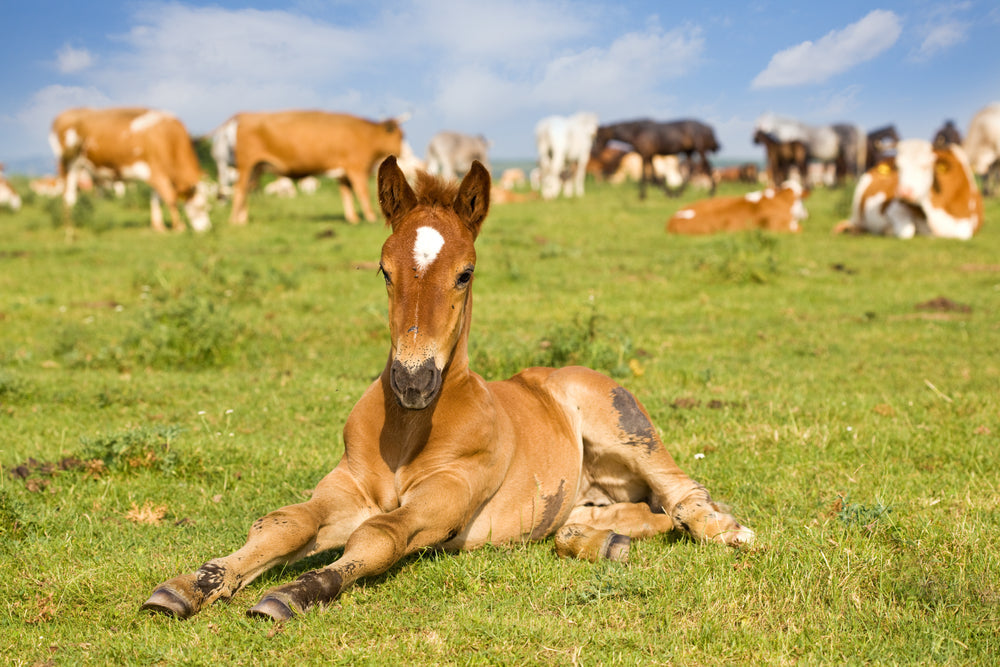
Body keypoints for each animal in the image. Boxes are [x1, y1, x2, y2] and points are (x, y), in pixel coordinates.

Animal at [140, 157, 755, 622]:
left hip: (625, 428)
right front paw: (189, 586)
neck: (410, 428)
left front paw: (292, 594)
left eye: (466, 273)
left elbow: (379, 536)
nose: (413, 381)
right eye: (384, 270)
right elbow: (287, 523)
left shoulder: (448, 494)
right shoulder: (347, 485)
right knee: (628, 516)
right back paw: (602, 541)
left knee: (682, 495)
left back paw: (728, 532)